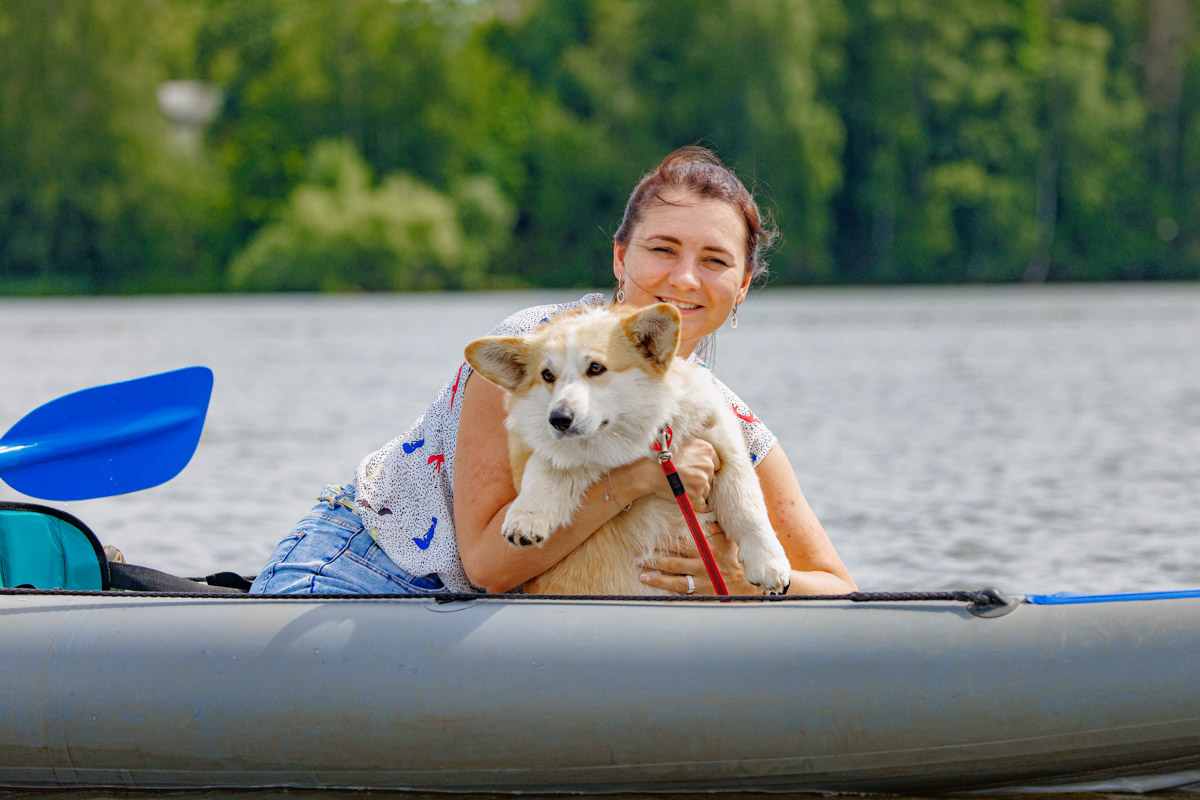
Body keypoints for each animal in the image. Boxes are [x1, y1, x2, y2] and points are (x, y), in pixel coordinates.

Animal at [463, 303, 792, 597]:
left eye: (596, 368)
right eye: (547, 375)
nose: (558, 419)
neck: (630, 441)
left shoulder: (722, 442)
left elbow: (747, 504)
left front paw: (770, 565)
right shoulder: (557, 454)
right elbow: (544, 469)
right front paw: (524, 519)